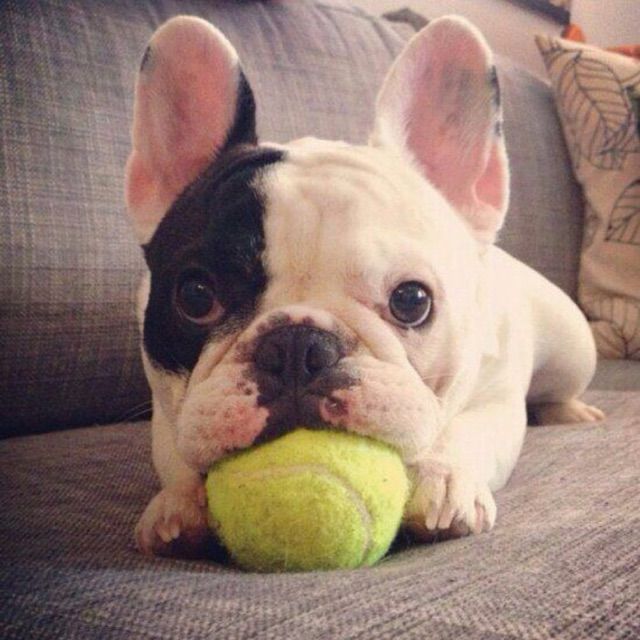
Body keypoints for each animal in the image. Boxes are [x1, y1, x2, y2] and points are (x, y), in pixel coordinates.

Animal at [125, 15, 603, 556]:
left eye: (412, 300)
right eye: (195, 296)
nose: (297, 346)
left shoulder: (497, 399)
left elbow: (468, 432)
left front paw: (446, 480)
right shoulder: (169, 410)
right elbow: (176, 448)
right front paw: (178, 504)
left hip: (574, 349)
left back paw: (572, 411)